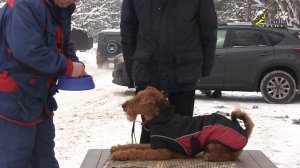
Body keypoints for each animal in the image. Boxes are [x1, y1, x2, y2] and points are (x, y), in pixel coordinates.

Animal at [110, 86, 253, 161]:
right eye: (137, 95)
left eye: (140, 100)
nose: (123, 106)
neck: (163, 119)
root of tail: (243, 131)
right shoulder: (154, 144)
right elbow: (135, 145)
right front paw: (116, 148)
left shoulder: (162, 152)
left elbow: (137, 152)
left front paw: (119, 154)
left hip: (214, 143)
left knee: (230, 156)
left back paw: (210, 156)